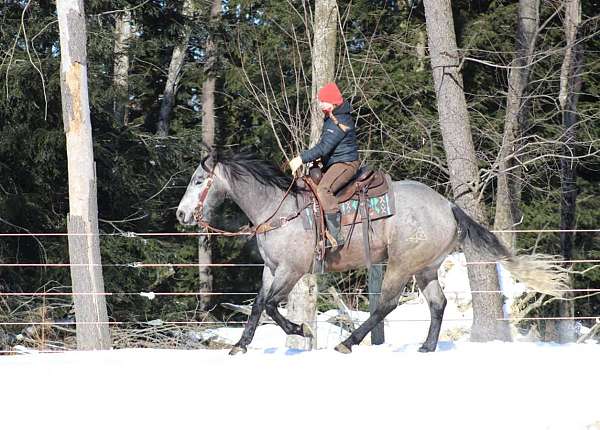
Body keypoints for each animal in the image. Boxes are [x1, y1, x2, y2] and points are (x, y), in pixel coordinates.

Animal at [176, 153, 564, 354]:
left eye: (198, 180)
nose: (180, 215)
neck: (279, 208)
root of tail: (449, 206)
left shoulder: (291, 270)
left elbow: (272, 306)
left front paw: (301, 329)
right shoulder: (270, 270)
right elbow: (258, 305)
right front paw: (240, 345)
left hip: (400, 265)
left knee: (386, 305)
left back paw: (349, 342)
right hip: (425, 268)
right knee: (437, 304)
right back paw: (426, 347)